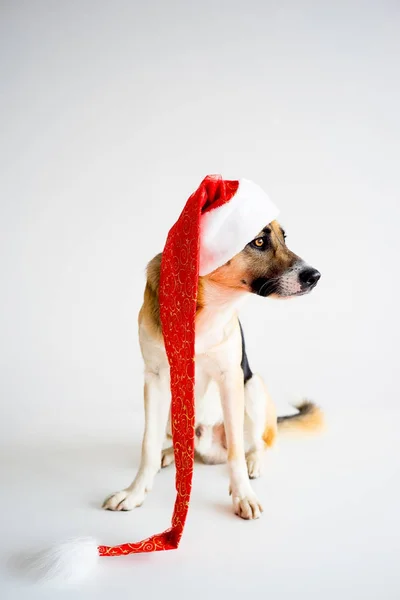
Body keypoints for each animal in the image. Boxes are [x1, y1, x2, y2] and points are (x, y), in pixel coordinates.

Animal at [103, 220, 322, 520]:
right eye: (258, 242)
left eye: (284, 238)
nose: (316, 276)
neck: (204, 303)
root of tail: (208, 449)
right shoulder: (155, 379)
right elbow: (148, 445)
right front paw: (135, 493)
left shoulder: (230, 378)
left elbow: (236, 453)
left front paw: (243, 496)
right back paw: (170, 454)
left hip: (253, 387)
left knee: (256, 443)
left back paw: (253, 462)